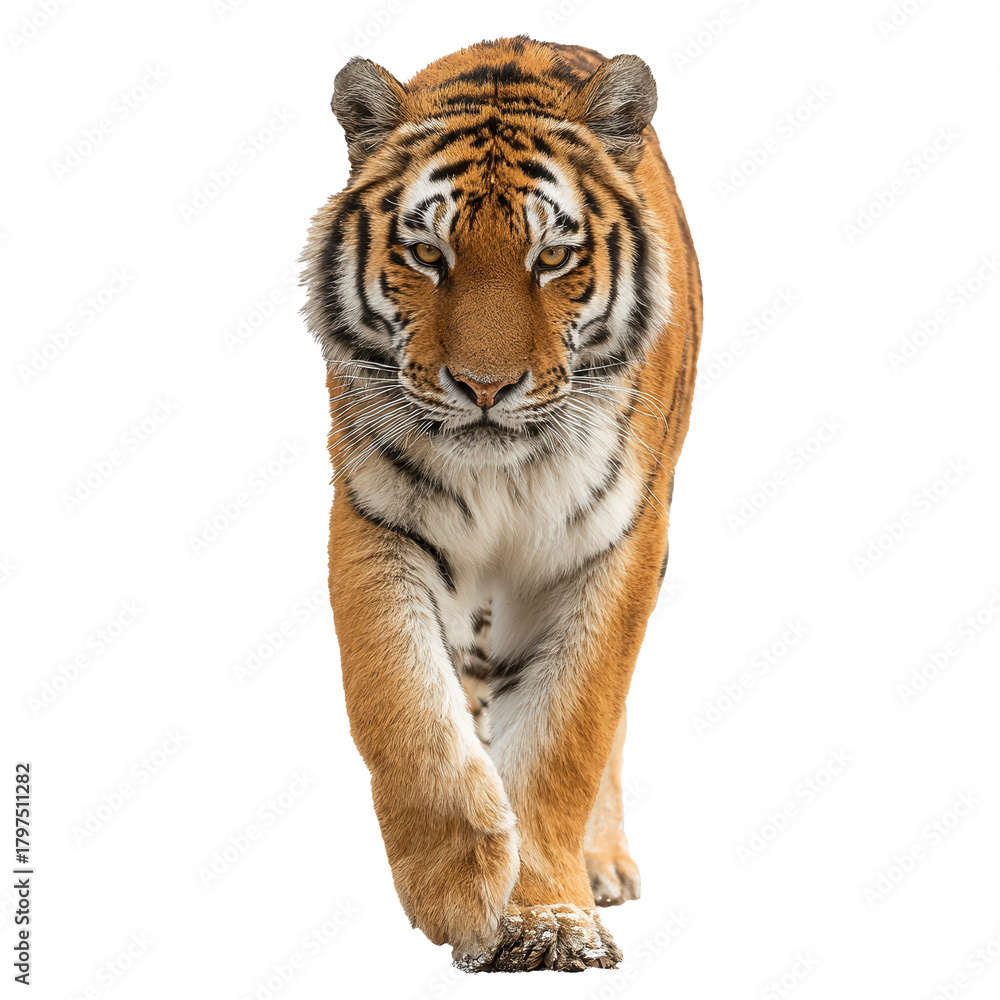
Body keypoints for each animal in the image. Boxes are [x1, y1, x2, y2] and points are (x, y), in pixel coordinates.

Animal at [301, 35, 702, 972]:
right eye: (427, 256)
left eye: (551, 259)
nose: (485, 388)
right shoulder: (377, 518)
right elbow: (405, 706)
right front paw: (460, 890)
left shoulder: (618, 542)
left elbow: (569, 733)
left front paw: (548, 918)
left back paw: (601, 866)